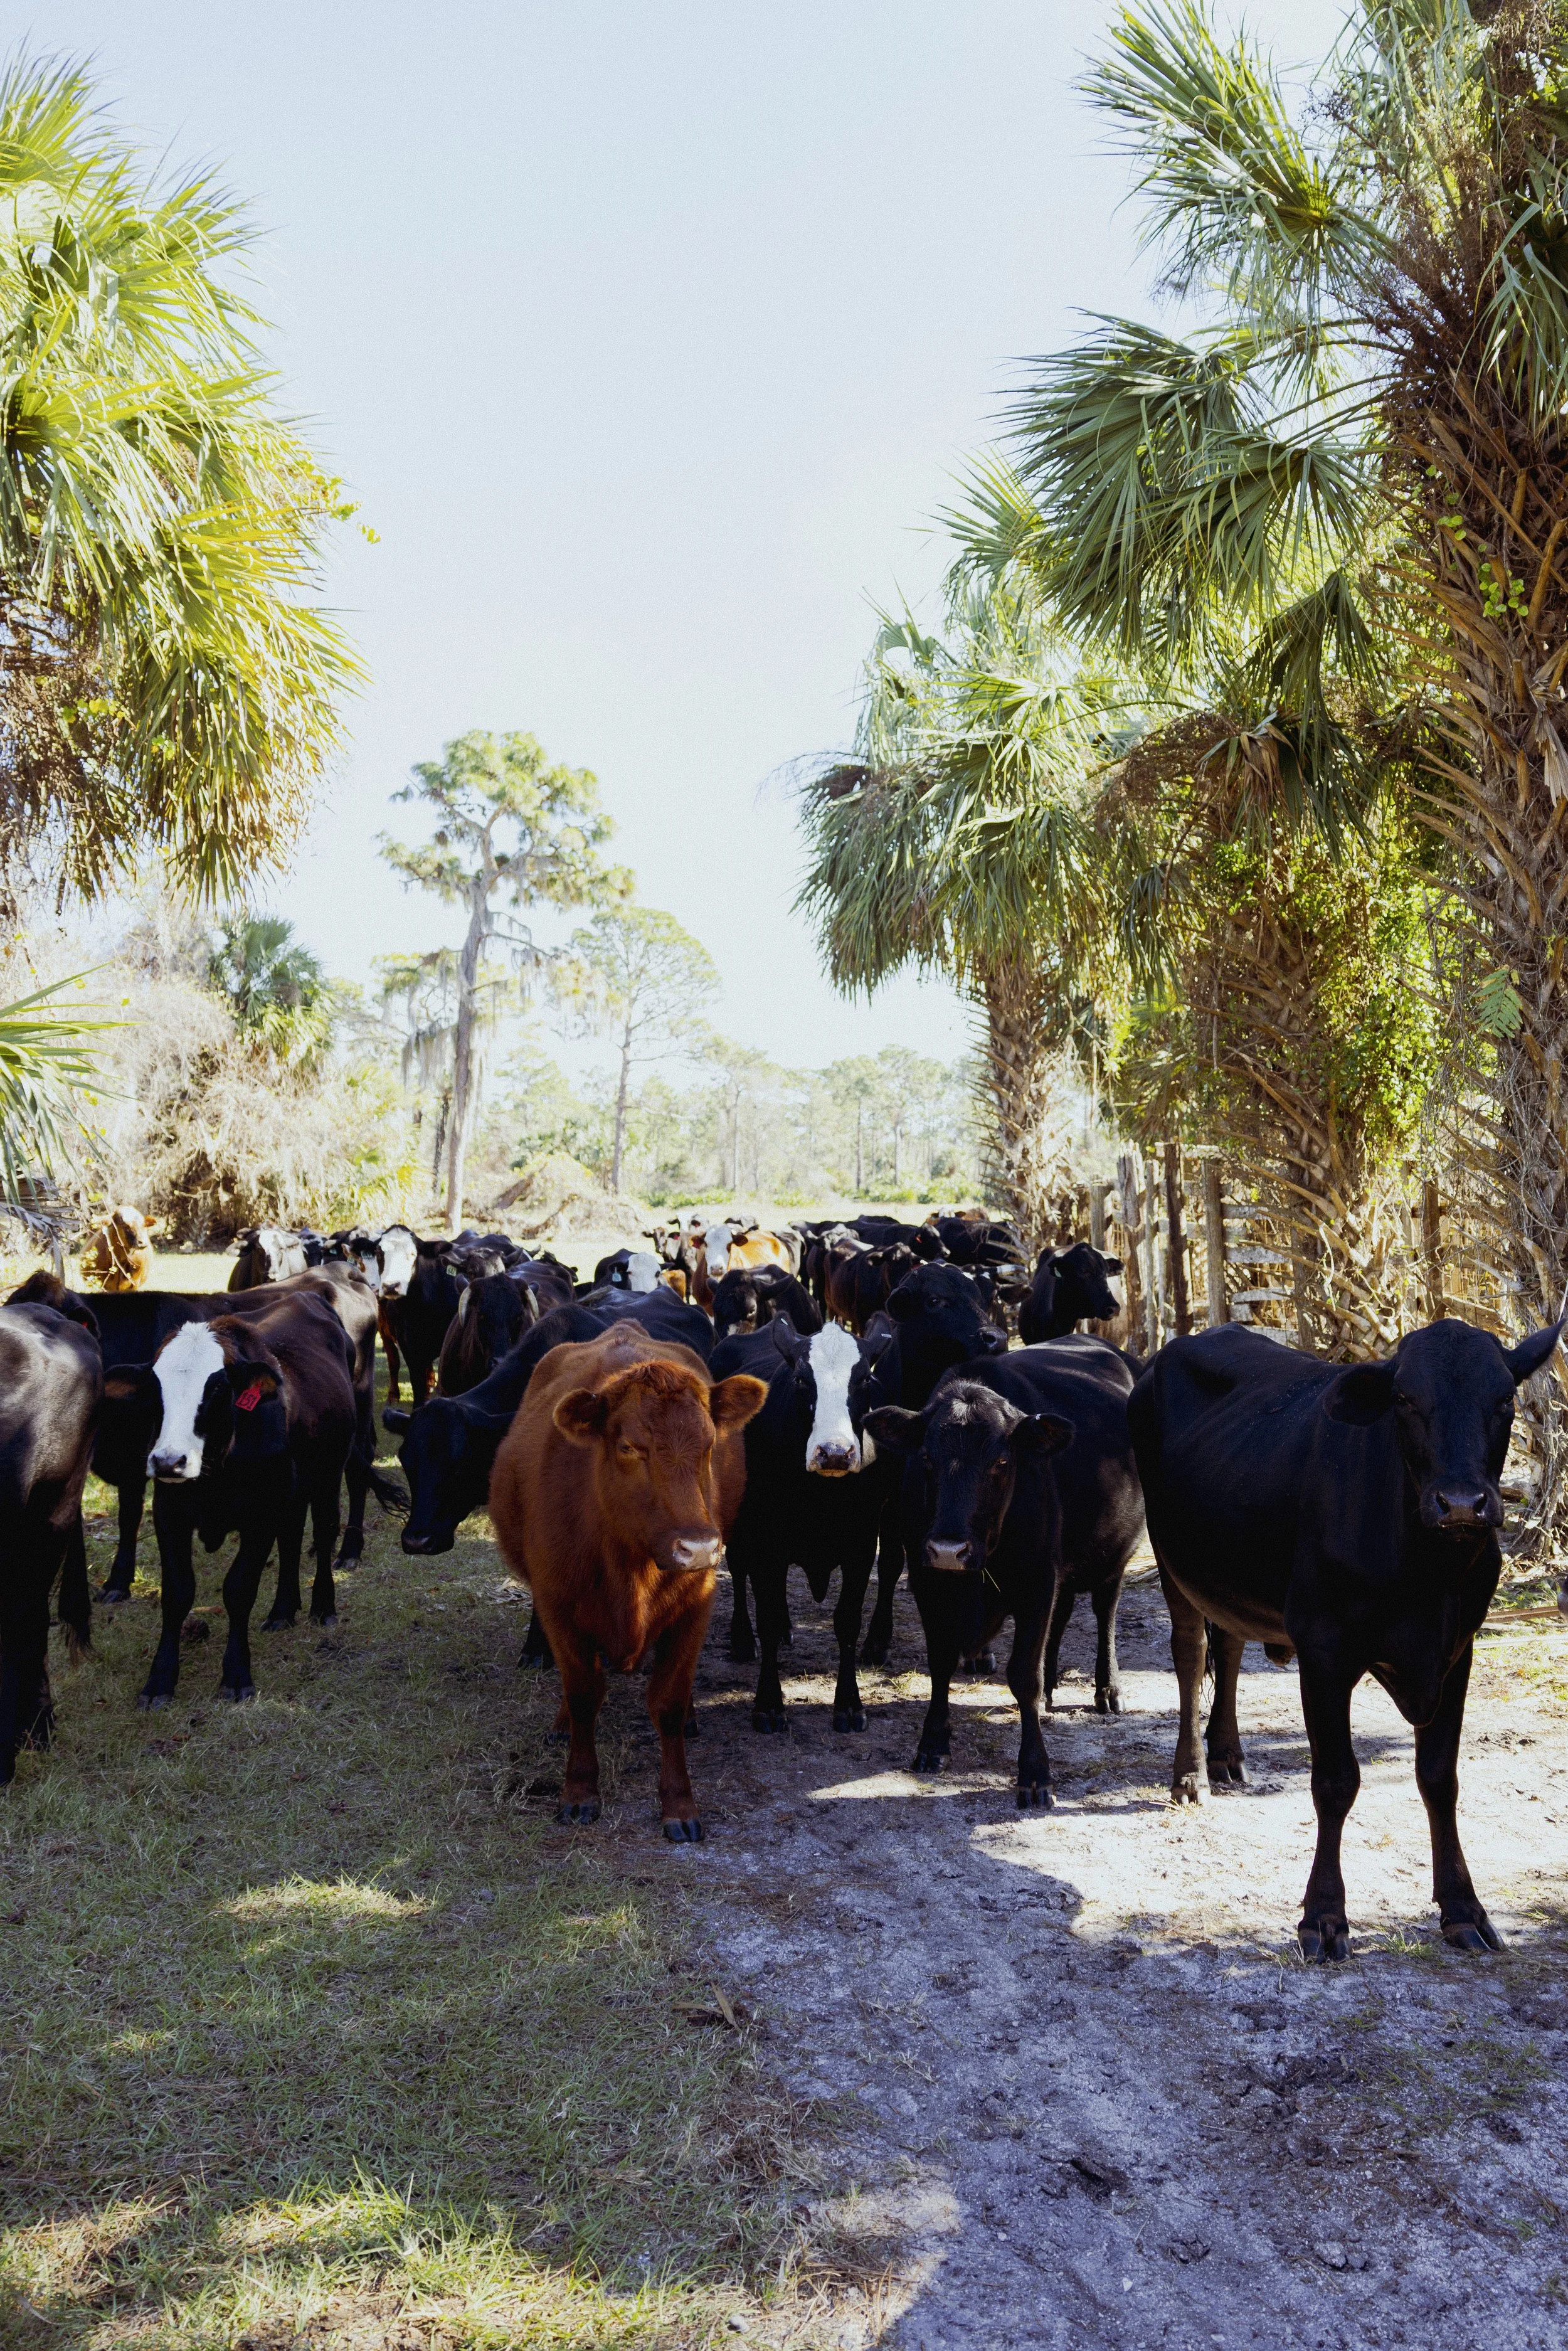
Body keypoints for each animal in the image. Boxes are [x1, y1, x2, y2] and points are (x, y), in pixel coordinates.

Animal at [101, 1289, 399, 1707]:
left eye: (216, 1389)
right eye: (154, 1391)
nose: (169, 1461)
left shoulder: (261, 1515)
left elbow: (239, 1589)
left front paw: (237, 1675)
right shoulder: (170, 1514)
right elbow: (177, 1593)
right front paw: (159, 1681)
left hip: (329, 1472)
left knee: (324, 1533)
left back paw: (323, 1605)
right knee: (291, 1540)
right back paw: (282, 1610)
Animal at [488, 1321, 766, 1838]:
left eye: (710, 1445)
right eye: (628, 1447)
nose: (699, 1547)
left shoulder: (697, 1603)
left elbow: (668, 1703)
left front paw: (679, 1804)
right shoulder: (558, 1605)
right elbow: (583, 1695)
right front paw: (579, 1791)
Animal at [715, 1314, 891, 1722]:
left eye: (864, 1379)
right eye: (800, 1379)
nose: (835, 1452)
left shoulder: (862, 1547)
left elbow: (847, 1622)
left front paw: (849, 1704)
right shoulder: (765, 1542)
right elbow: (763, 1614)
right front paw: (768, 1705)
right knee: (738, 1570)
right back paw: (742, 1639)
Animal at [1127, 1313, 1565, 1961]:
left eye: (1505, 1399)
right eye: (1405, 1399)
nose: (1463, 1504)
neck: (1427, 1575)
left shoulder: (1456, 1650)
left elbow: (1440, 1778)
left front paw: (1463, 1909)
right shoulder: (1324, 1651)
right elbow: (1336, 1781)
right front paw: (1325, 1916)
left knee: (1228, 1644)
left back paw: (1227, 1754)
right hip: (1173, 1558)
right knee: (1190, 1653)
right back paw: (1191, 1776)